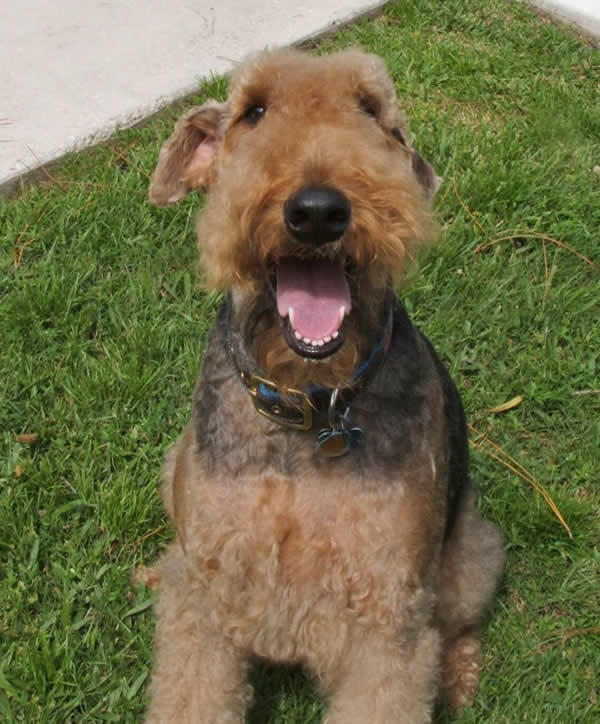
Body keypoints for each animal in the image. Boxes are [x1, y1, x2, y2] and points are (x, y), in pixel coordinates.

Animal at [143, 48, 504, 720]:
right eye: (254, 111)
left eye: (370, 109)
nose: (317, 211)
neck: (308, 407)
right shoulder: (208, 592)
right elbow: (192, 691)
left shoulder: (386, 614)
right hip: (174, 468)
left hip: (469, 557)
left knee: (457, 621)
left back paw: (460, 675)